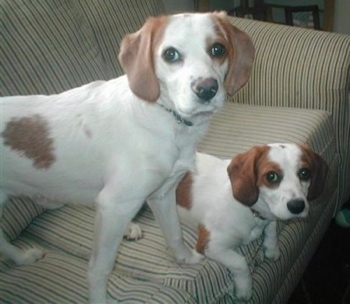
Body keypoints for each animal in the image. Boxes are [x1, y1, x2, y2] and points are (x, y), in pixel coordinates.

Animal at [0, 11, 254, 304]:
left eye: (218, 49)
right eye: (170, 54)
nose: (207, 89)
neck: (163, 115)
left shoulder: (163, 193)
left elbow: (174, 233)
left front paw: (184, 259)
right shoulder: (114, 205)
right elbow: (99, 268)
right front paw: (99, 299)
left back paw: (21, 257)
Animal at [178, 144, 328, 300]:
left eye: (305, 173)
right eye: (271, 176)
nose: (297, 206)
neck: (252, 212)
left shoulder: (269, 218)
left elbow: (271, 229)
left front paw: (271, 248)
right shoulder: (209, 245)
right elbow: (240, 263)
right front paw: (244, 289)